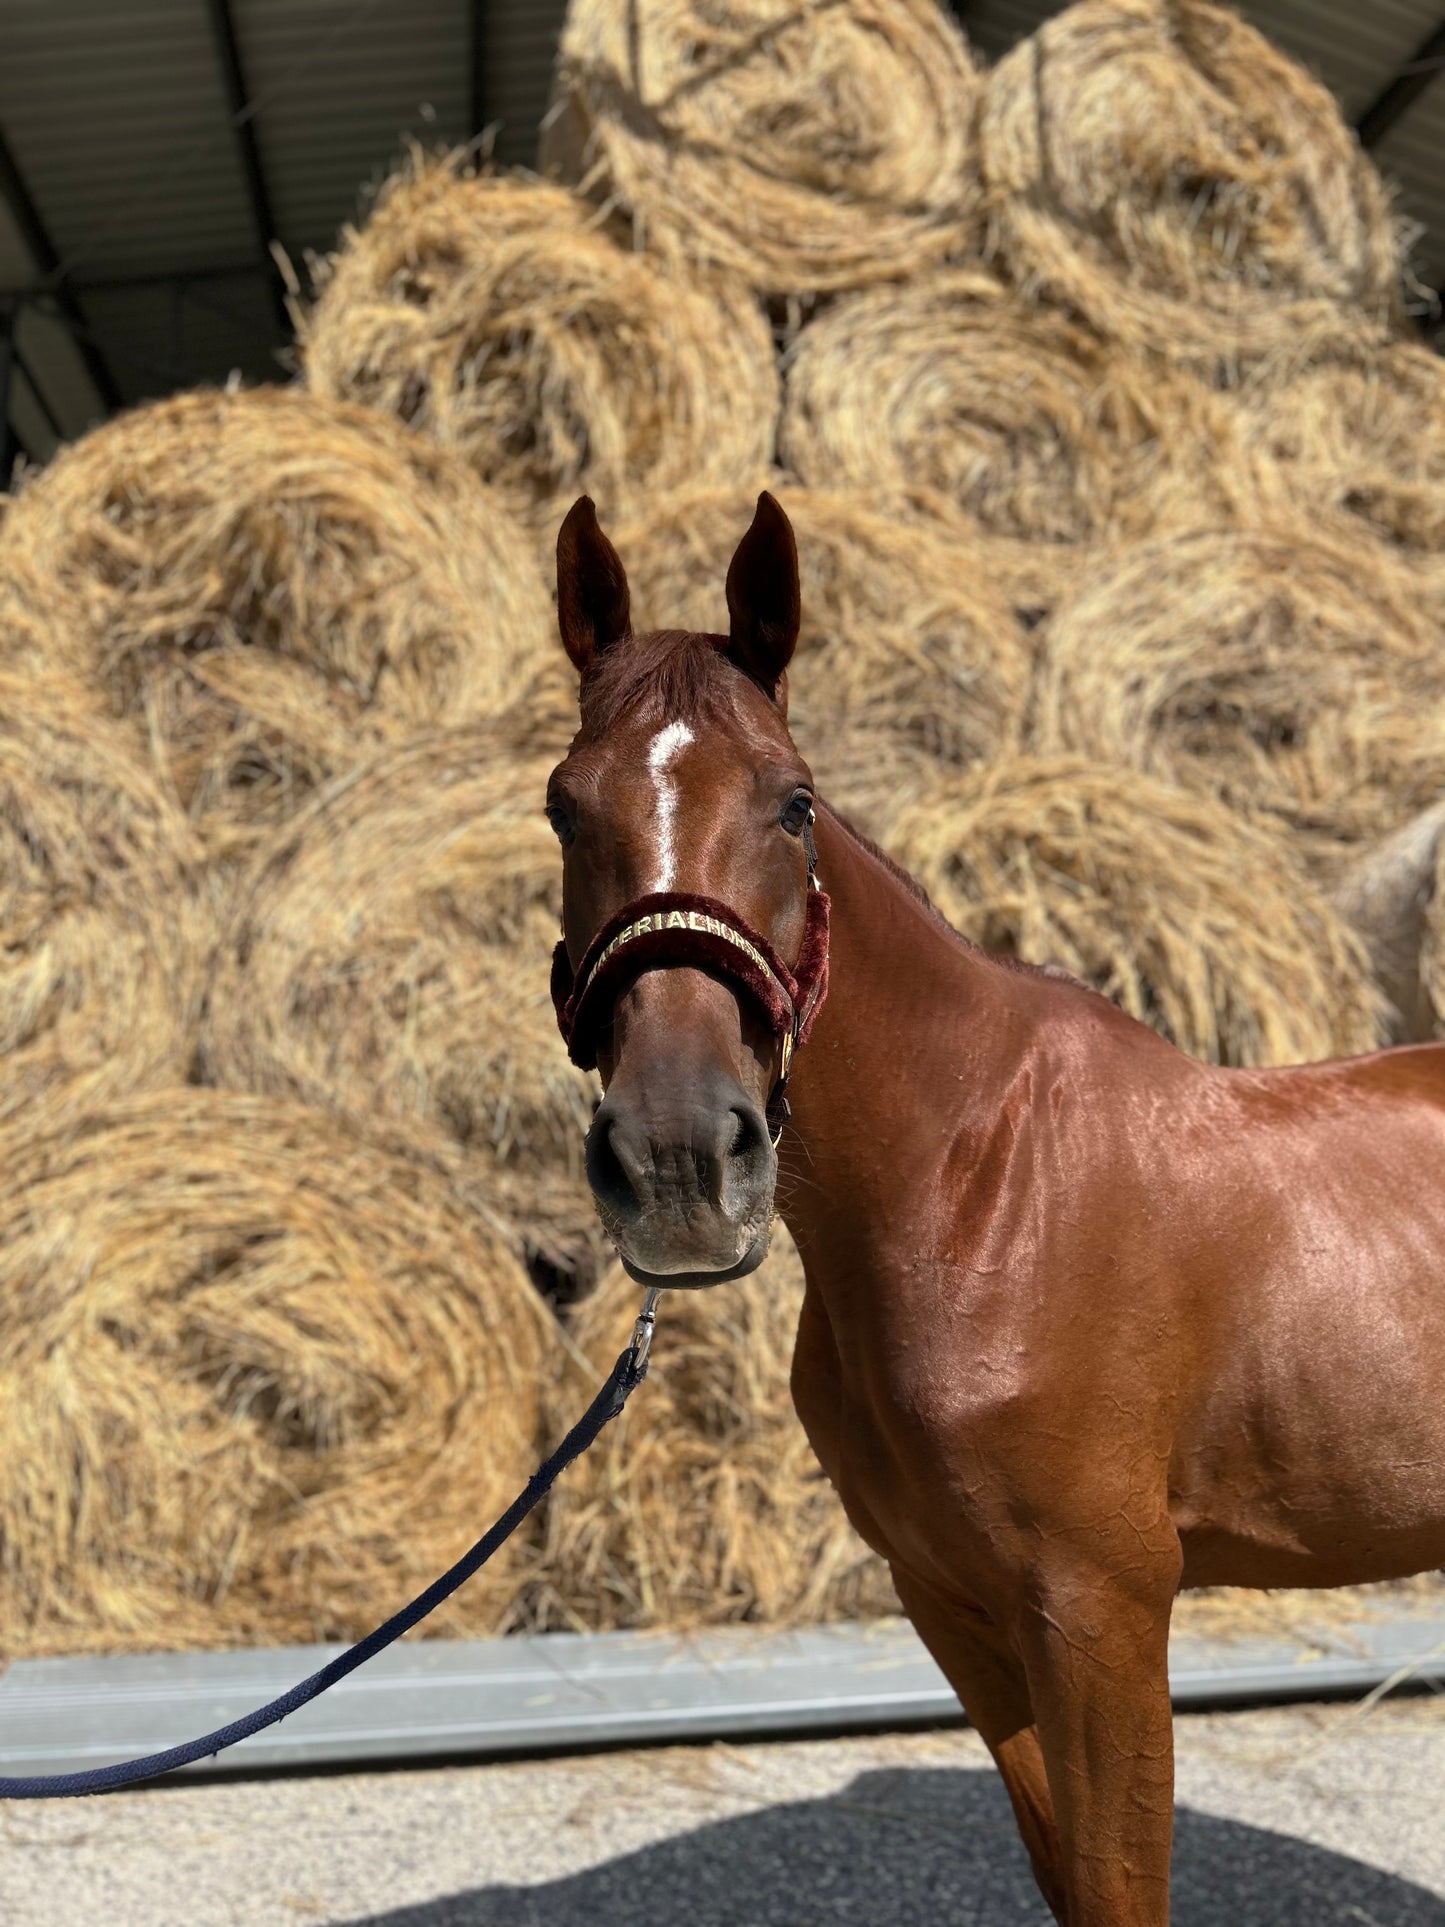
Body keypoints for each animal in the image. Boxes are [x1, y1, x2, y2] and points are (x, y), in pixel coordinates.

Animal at [547, 489, 1445, 1919]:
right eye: (561, 807)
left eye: (792, 804)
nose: (680, 1158)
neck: (977, 1194)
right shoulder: (952, 1605)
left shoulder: (1101, 1610)